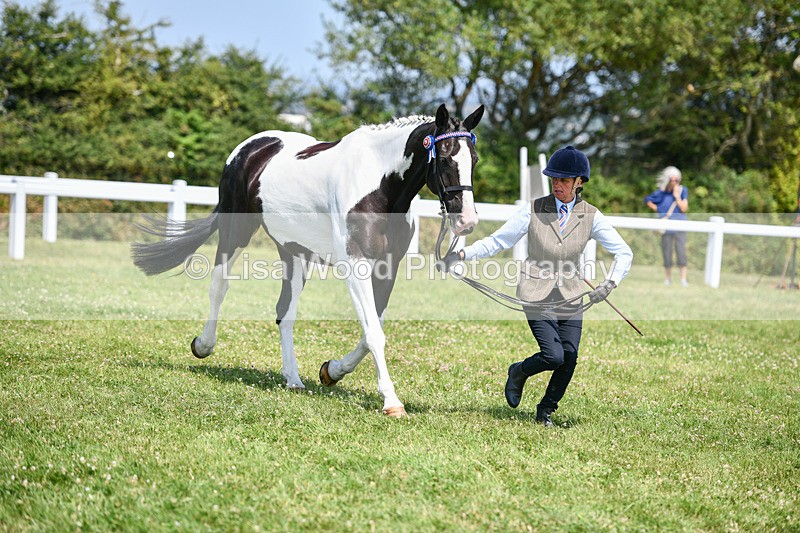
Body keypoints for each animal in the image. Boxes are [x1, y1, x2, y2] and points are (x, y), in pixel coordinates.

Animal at [132, 103, 484, 416]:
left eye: (474, 158)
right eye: (445, 157)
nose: (466, 220)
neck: (379, 187)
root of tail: (249, 149)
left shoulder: (387, 268)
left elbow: (371, 331)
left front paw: (332, 371)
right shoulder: (355, 266)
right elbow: (373, 333)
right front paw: (391, 402)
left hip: (294, 253)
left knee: (284, 312)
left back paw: (293, 378)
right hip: (235, 233)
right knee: (219, 287)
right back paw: (204, 345)